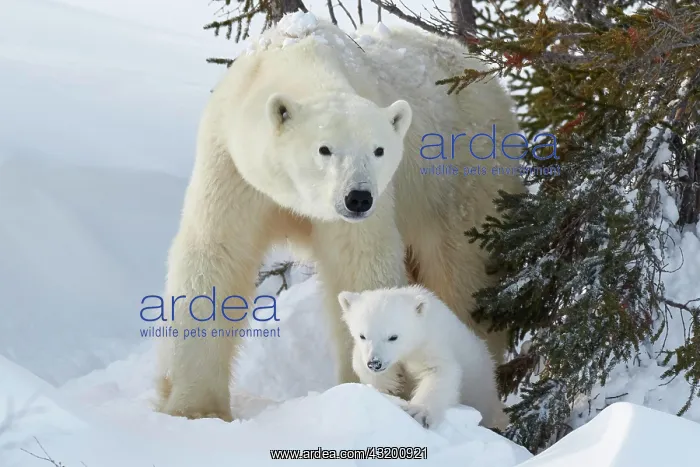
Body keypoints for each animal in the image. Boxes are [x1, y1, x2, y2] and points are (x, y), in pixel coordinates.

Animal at [339, 285, 508, 430]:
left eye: (393, 337)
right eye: (362, 335)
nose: (375, 363)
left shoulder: (431, 343)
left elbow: (440, 371)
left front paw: (418, 412)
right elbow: (358, 361)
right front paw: (390, 382)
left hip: (481, 387)